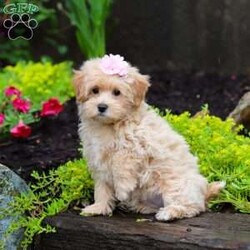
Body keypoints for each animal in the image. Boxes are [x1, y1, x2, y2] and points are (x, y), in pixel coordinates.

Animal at [73, 54, 225, 221]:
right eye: (95, 90)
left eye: (117, 92)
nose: (101, 107)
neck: (109, 125)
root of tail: (203, 193)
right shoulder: (97, 158)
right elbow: (102, 188)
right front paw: (98, 207)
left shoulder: (139, 145)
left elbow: (120, 160)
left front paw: (122, 189)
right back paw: (143, 207)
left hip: (178, 185)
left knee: (192, 207)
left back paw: (169, 212)